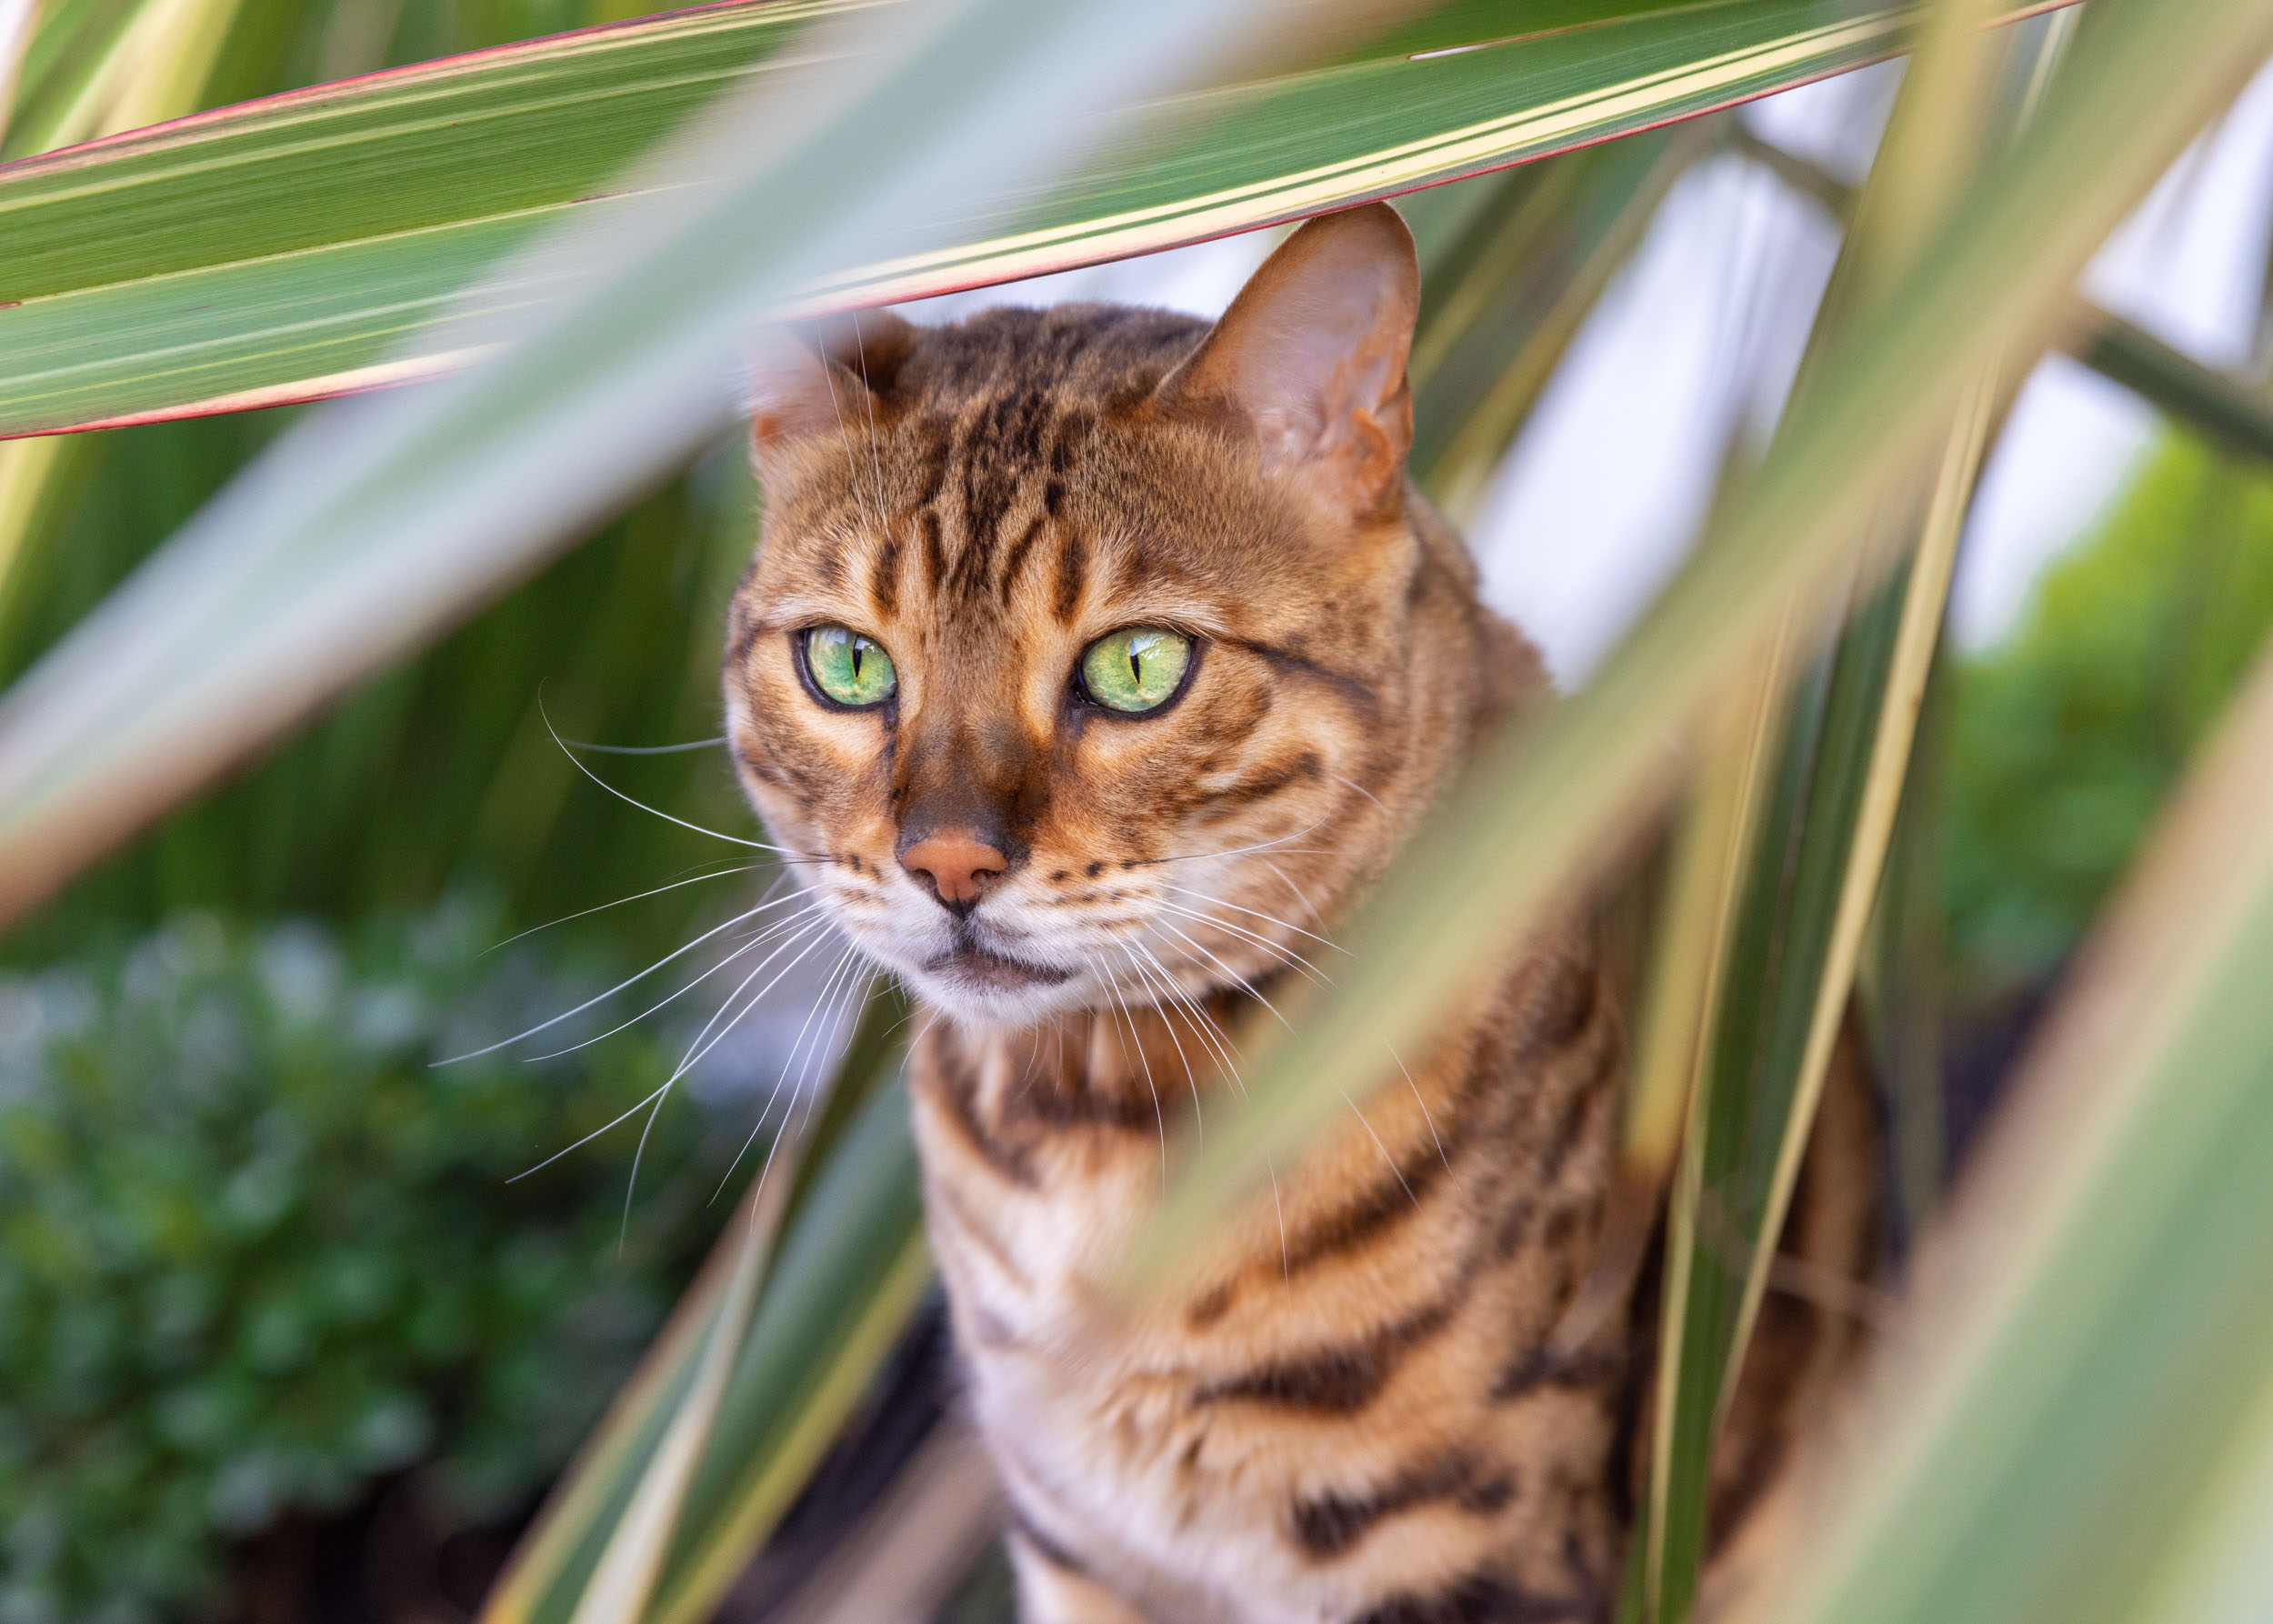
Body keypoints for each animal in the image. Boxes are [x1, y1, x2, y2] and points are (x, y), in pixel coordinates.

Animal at [718, 202, 1873, 1619]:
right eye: (847, 662)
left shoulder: (1466, 1548)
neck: (1094, 1125)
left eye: (1138, 666)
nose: (945, 863)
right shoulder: (1080, 1541)